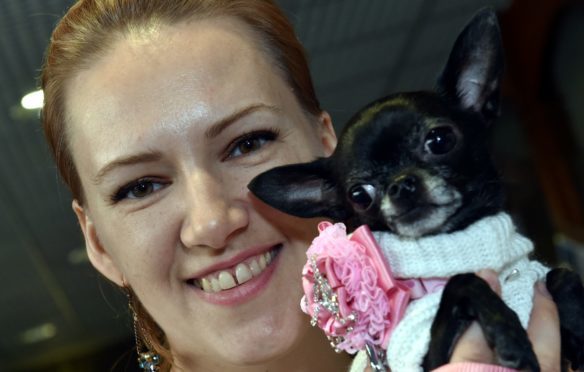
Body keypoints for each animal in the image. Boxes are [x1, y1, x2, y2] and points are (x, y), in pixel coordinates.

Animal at [249, 6, 580, 372]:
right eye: (359, 195)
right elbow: (465, 280)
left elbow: (562, 275)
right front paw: (509, 336)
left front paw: (576, 324)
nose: (401, 185)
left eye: (440, 140)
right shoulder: (423, 357)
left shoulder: (536, 274)